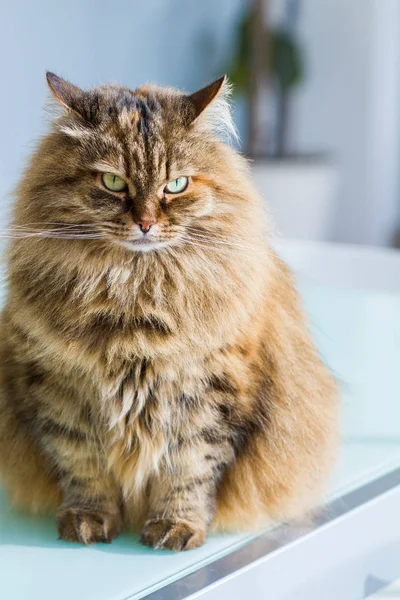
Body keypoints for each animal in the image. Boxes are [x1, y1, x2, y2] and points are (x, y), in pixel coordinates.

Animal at [0, 72, 340, 552]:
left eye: (176, 185)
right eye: (113, 181)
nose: (145, 223)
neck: (135, 296)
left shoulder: (211, 393)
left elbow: (189, 469)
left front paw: (175, 527)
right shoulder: (57, 389)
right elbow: (82, 465)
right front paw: (88, 520)